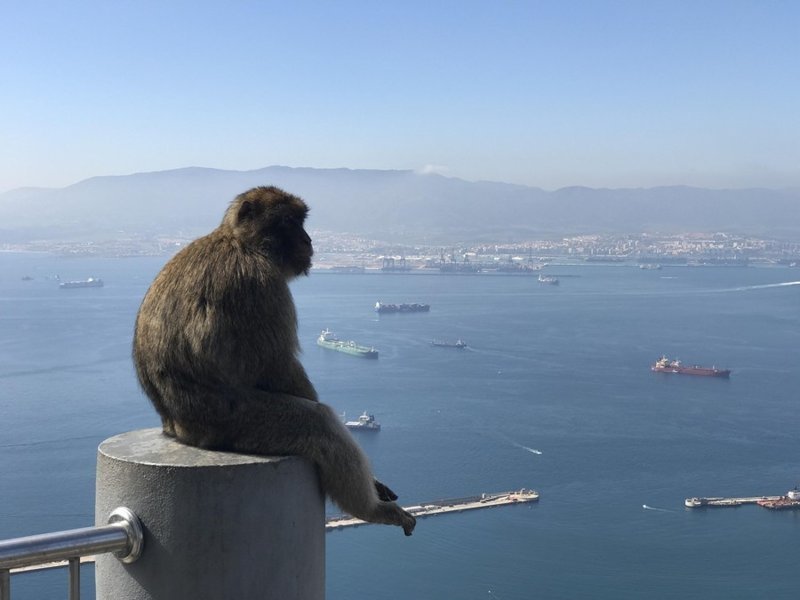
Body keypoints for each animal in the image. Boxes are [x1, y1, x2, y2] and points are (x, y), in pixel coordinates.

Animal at [132, 186, 416, 536]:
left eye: (301, 221)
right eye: (289, 222)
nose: (308, 239)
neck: (240, 242)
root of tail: (176, 429)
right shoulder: (261, 284)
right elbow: (279, 368)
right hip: (238, 423)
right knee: (319, 423)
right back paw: (371, 509)